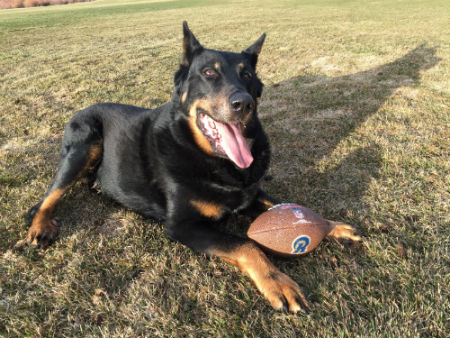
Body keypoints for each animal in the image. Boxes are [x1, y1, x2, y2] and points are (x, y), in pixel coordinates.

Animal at [26, 21, 360, 312]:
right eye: (209, 72)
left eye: (248, 75)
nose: (244, 103)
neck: (217, 162)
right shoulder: (183, 225)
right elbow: (246, 244)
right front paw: (276, 280)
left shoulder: (251, 193)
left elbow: (282, 205)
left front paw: (329, 226)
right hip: (83, 146)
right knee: (47, 197)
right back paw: (40, 227)